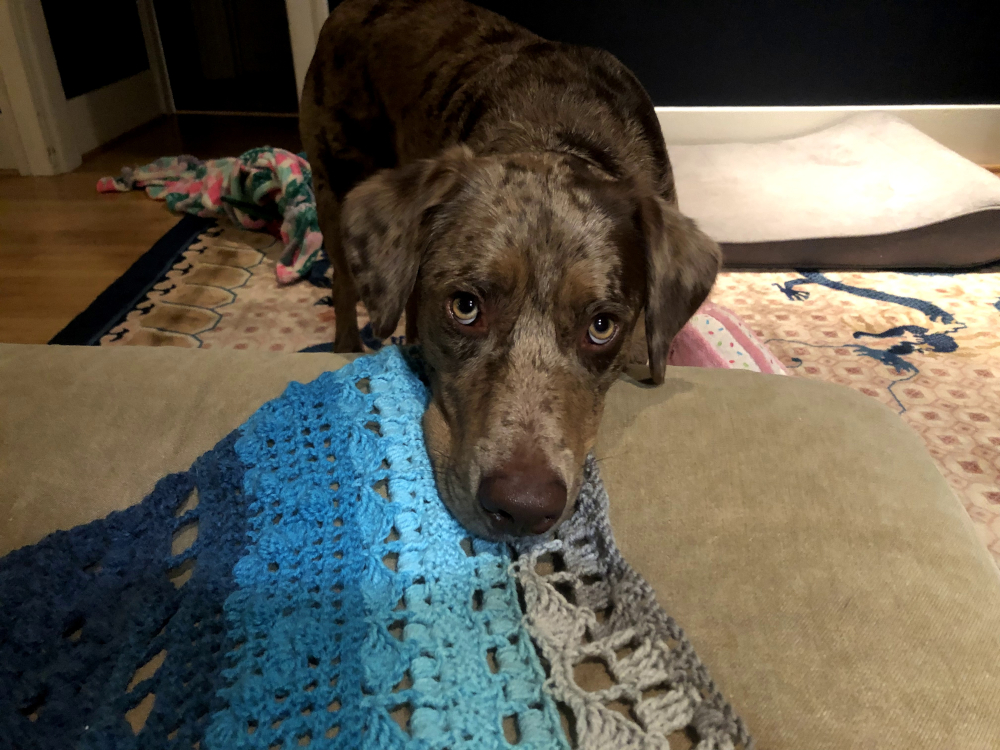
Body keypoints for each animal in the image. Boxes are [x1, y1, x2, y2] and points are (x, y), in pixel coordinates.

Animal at [296, 0, 720, 540]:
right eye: (465, 307)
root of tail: (349, 7)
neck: (552, 132)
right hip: (334, 176)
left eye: (602, 326)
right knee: (345, 281)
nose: (522, 507)